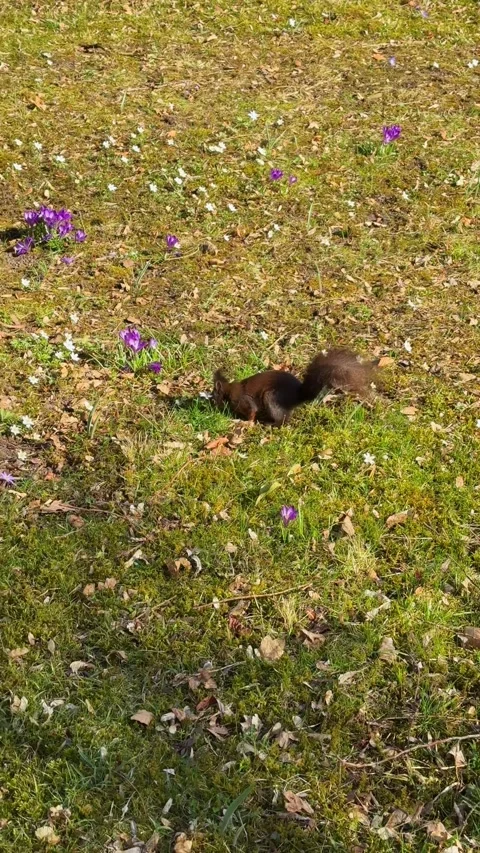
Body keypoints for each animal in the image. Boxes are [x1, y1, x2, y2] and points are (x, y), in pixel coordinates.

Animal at [212, 348, 378, 426]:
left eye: (214, 395)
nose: (210, 403)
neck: (228, 390)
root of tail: (298, 396)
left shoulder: (241, 400)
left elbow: (252, 411)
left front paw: (245, 423)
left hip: (271, 398)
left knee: (283, 419)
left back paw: (270, 424)